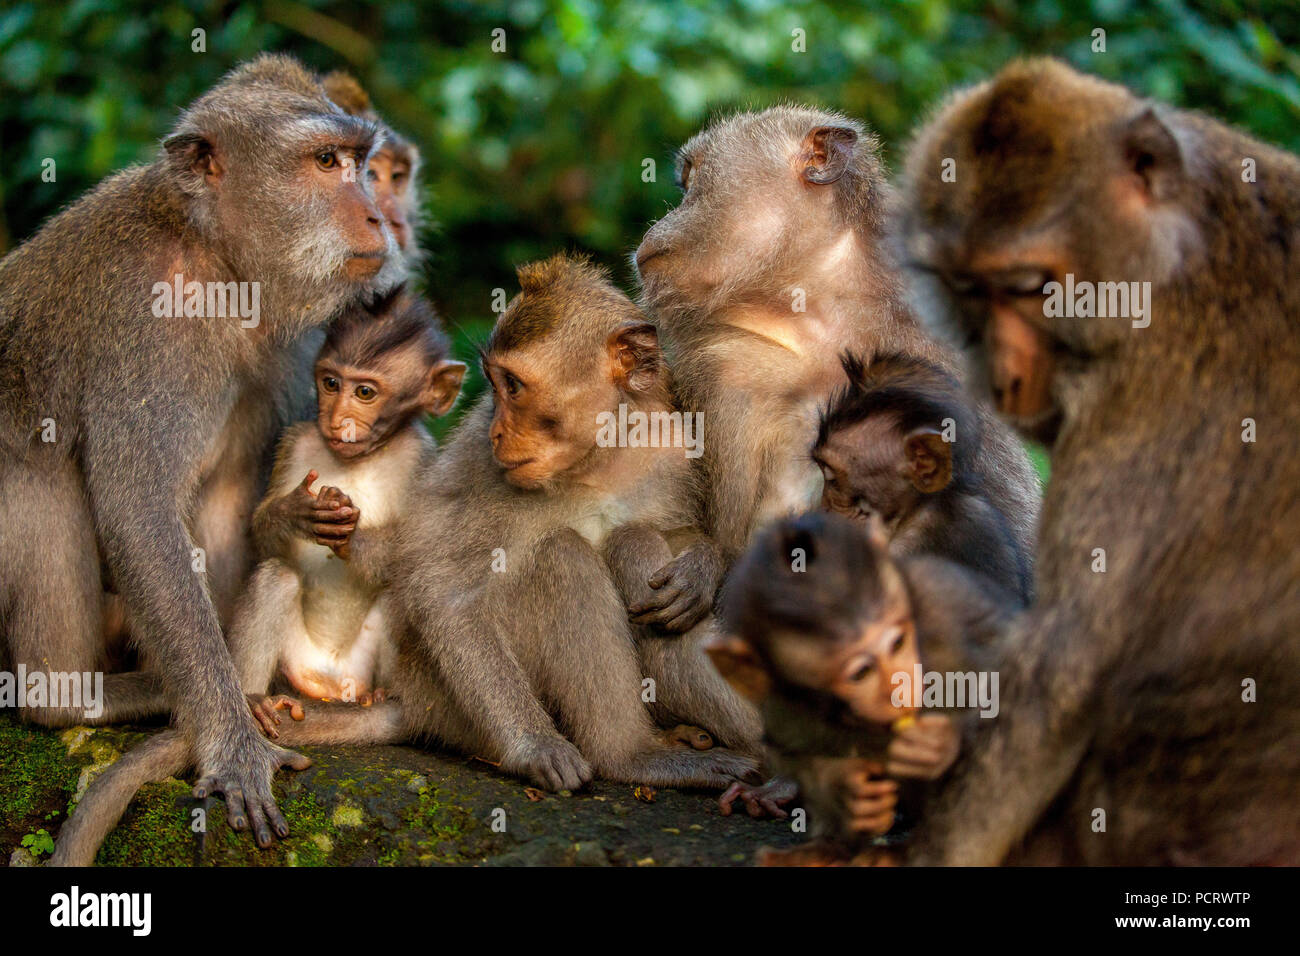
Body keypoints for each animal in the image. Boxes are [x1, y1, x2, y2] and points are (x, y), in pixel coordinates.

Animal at [0, 54, 397, 853]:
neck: (219, 263)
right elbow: (139, 510)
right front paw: (230, 738)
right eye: (326, 162)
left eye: (360, 163)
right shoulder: (144, 322)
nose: (375, 215)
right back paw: (75, 700)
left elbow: (229, 496)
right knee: (38, 465)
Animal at [228, 291, 467, 717]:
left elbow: (421, 551)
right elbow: (261, 537)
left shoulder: (424, 459)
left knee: (398, 596)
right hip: (295, 661)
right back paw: (258, 701)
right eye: (331, 383)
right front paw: (296, 513)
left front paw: (351, 540)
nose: (338, 421)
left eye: (365, 393)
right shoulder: (296, 440)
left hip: (361, 666)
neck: (359, 458)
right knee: (276, 577)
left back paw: (377, 695)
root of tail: (329, 680)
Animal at [712, 515, 1013, 868]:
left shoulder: (943, 593)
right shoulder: (778, 688)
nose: (899, 687)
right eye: (861, 673)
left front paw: (941, 742)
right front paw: (849, 790)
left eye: (897, 643)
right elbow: (790, 743)